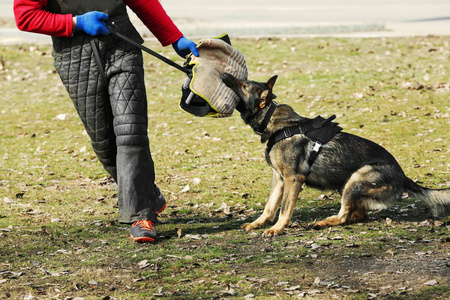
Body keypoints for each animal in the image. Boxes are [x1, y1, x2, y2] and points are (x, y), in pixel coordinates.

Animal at [221, 72, 450, 237]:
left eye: (244, 86)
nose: (224, 74)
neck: (274, 121)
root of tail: (403, 177)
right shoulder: (278, 178)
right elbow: (269, 206)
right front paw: (258, 223)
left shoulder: (293, 179)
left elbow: (284, 209)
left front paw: (277, 229)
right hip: (346, 184)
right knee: (358, 215)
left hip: (356, 179)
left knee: (345, 216)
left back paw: (324, 222)